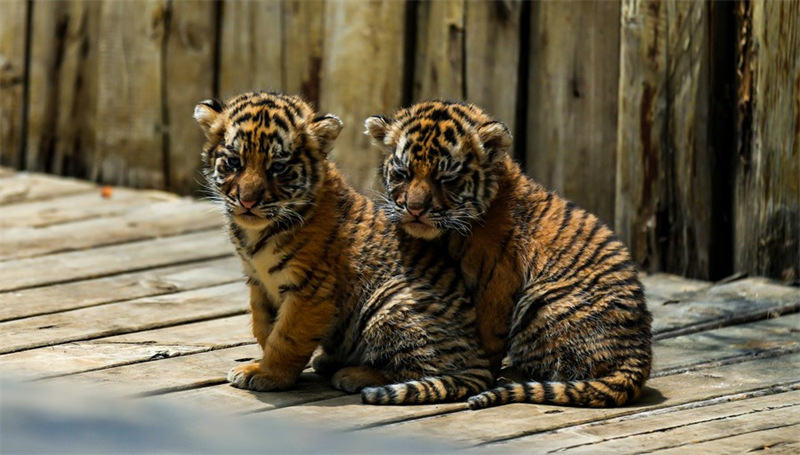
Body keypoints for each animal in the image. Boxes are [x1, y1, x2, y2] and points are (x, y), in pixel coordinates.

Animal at [193, 92, 492, 405]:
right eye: (234, 163)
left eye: (278, 168)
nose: (248, 202)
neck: (257, 232)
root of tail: (480, 359)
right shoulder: (258, 282)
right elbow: (264, 327)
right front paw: (261, 364)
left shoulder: (312, 289)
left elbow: (286, 336)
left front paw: (267, 374)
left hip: (391, 300)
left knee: (420, 367)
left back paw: (354, 375)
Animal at [365, 100, 653, 409]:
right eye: (402, 174)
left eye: (447, 179)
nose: (415, 210)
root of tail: (637, 359)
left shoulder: (496, 282)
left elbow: (485, 337)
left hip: (539, 301)